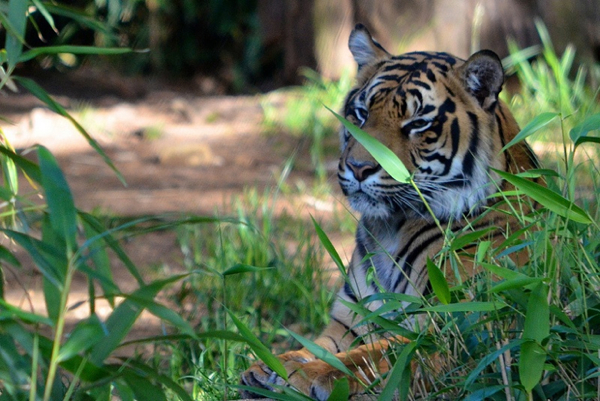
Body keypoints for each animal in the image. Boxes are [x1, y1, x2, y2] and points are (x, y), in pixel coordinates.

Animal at [240, 23, 540, 398]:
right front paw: (271, 365)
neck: (390, 229)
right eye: (361, 113)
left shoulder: (452, 326)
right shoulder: (348, 321)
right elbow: (318, 346)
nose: (358, 168)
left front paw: (304, 374)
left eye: (417, 124)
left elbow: (375, 356)